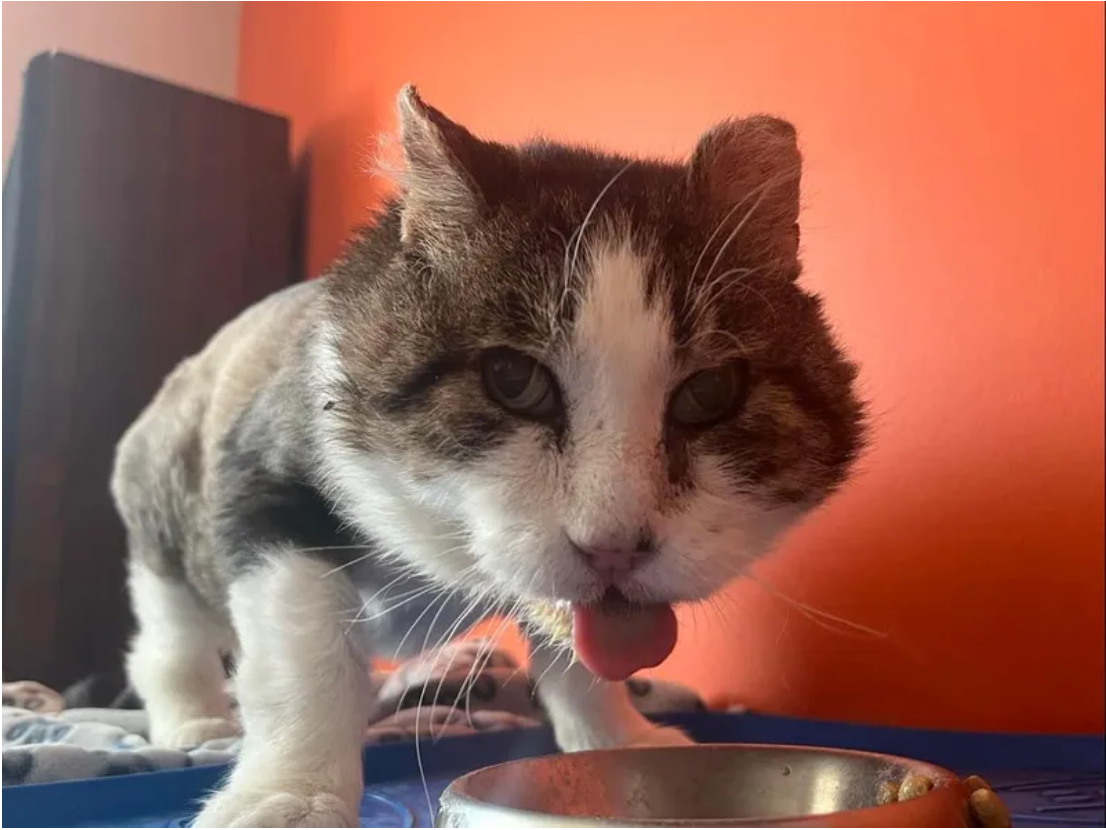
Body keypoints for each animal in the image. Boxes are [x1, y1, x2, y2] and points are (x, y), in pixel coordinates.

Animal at [114, 87, 871, 827]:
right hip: (161, 508)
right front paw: (289, 798)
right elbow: (303, 656)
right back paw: (196, 721)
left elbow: (577, 650)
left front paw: (619, 743)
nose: (614, 546)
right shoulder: (265, 487)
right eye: (512, 379)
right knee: (170, 632)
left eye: (710, 391)